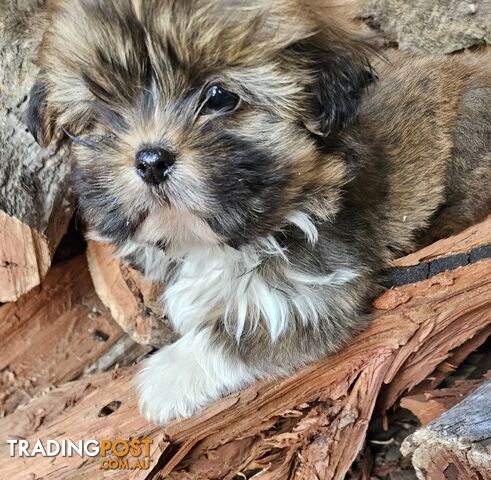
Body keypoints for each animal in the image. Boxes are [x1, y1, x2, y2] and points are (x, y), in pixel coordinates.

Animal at [27, 0, 491, 424]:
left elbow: (242, 329)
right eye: (102, 109)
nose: (151, 160)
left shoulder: (314, 290)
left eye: (220, 97)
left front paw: (164, 378)